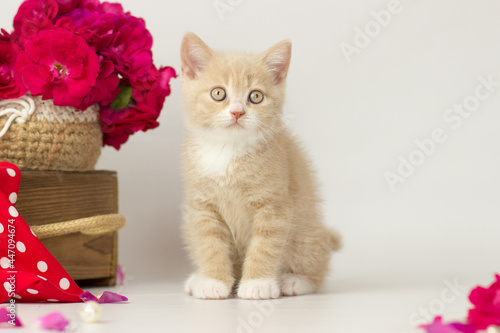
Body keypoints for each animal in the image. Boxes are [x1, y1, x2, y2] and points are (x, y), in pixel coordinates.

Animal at [180, 32, 340, 300]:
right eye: (218, 93)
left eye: (255, 96)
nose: (237, 112)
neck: (228, 151)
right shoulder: (202, 207)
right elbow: (209, 243)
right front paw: (213, 280)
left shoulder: (274, 206)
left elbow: (266, 245)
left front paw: (258, 283)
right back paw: (197, 278)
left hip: (306, 232)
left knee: (317, 266)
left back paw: (294, 281)